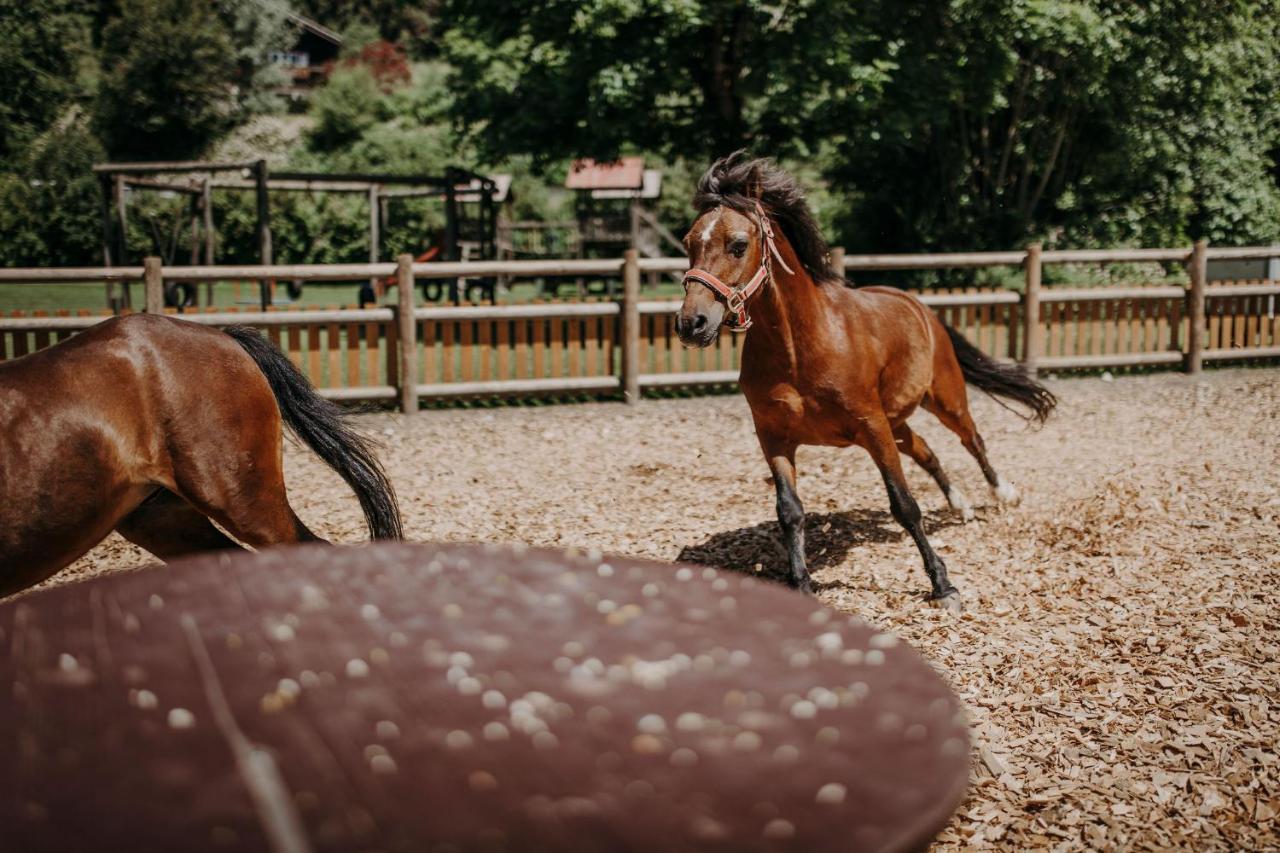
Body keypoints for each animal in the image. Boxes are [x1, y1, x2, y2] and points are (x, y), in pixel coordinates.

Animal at [675, 151, 1054, 604]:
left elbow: (904, 505)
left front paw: (943, 585)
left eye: (738, 245)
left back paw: (1002, 494)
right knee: (927, 451)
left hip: (943, 400)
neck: (799, 349)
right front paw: (800, 583)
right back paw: (959, 505)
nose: (691, 324)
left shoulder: (871, 426)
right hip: (898, 422)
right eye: (689, 244)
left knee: (972, 440)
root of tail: (918, 307)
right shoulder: (773, 436)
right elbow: (790, 512)